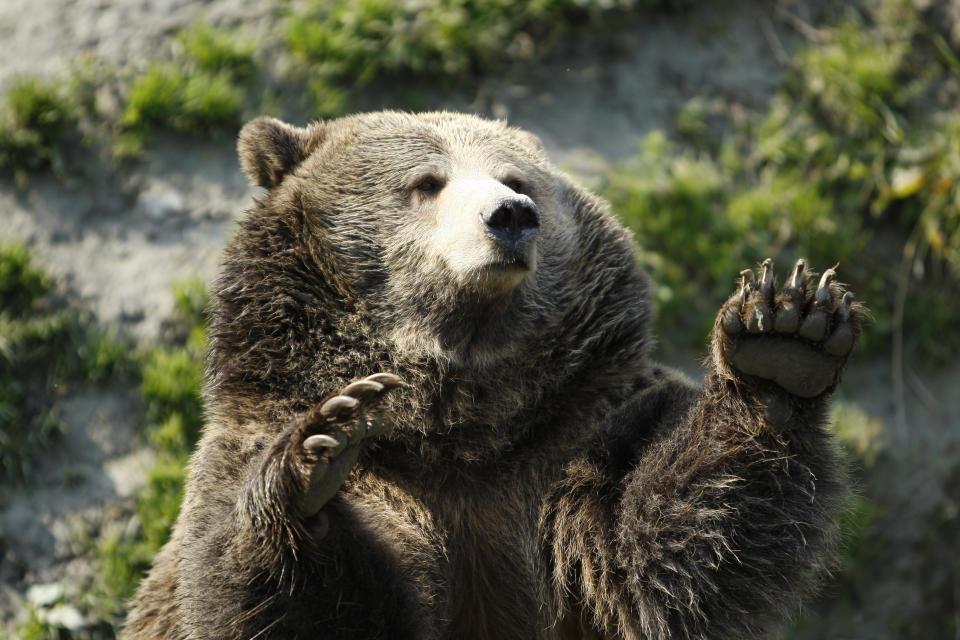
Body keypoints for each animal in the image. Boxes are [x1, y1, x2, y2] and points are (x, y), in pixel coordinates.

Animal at [124, 112, 868, 636]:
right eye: (426, 182)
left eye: (517, 179)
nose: (510, 216)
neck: (458, 424)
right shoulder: (263, 451)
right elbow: (277, 598)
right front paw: (317, 452)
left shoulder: (569, 441)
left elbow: (660, 557)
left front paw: (784, 341)